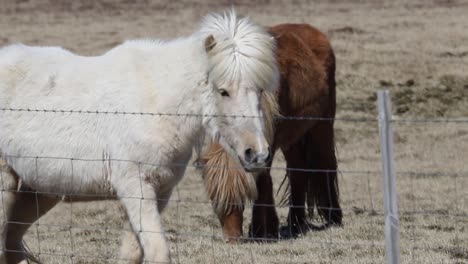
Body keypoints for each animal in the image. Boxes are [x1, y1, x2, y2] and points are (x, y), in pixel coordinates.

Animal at [0, 9, 278, 264]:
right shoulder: (135, 187)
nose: (257, 154)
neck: (155, 105)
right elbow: (158, 252)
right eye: (223, 91)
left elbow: (132, 253)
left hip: (39, 190)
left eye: (259, 90)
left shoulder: (160, 191)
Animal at [196, 23, 342, 242]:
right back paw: (296, 222)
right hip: (293, 139)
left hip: (321, 127)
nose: (232, 239)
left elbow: (263, 181)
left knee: (326, 165)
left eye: (243, 195)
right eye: (216, 200)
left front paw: (262, 229)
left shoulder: (266, 145)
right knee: (297, 172)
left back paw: (334, 218)